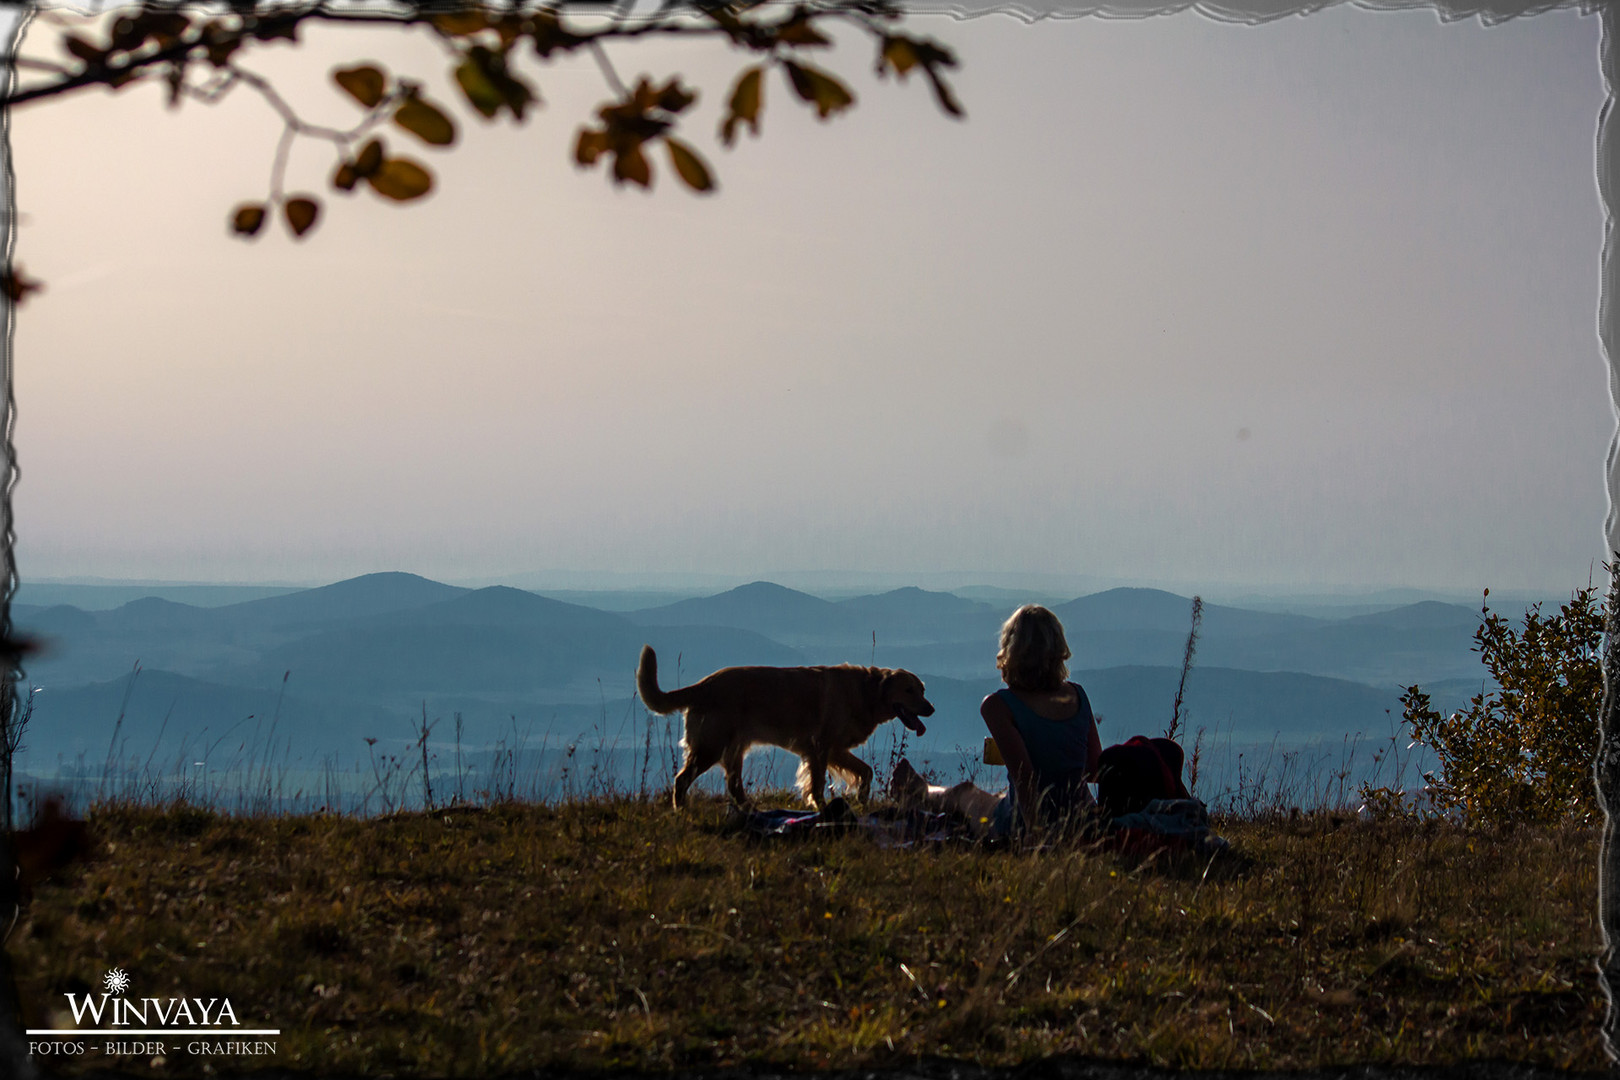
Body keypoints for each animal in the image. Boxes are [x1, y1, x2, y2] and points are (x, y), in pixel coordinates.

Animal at [635, 641, 939, 809]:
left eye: (922, 689)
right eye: (909, 690)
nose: (931, 709)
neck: (867, 692)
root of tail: (702, 685)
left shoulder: (836, 750)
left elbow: (865, 771)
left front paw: (862, 799)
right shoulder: (820, 748)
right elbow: (818, 783)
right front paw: (821, 806)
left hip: (733, 750)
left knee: (733, 784)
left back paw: (750, 808)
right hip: (711, 746)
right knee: (682, 779)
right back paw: (681, 808)